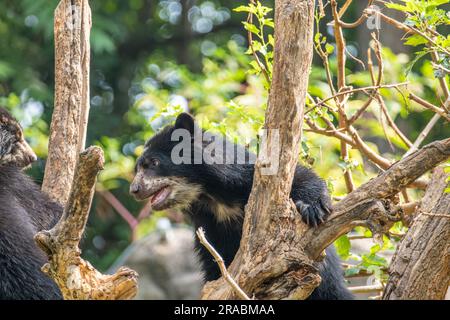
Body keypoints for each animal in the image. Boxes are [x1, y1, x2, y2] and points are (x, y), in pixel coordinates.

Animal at [131, 112, 356, 300]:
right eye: (137, 168)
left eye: (153, 163)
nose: (134, 189)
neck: (212, 196)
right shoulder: (209, 226)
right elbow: (214, 264)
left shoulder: (248, 177)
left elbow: (299, 176)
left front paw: (313, 208)